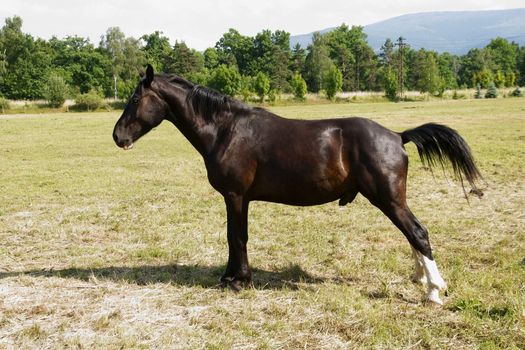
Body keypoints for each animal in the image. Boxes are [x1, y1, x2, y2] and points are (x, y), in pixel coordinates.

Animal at [112, 64, 482, 304]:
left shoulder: (235, 196)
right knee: (412, 235)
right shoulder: (239, 199)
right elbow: (234, 237)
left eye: (135, 99)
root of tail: (396, 135)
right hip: (392, 200)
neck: (227, 130)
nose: (118, 137)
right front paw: (230, 276)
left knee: (418, 233)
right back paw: (420, 278)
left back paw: (433, 292)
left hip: (388, 199)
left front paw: (238, 280)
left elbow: (237, 236)